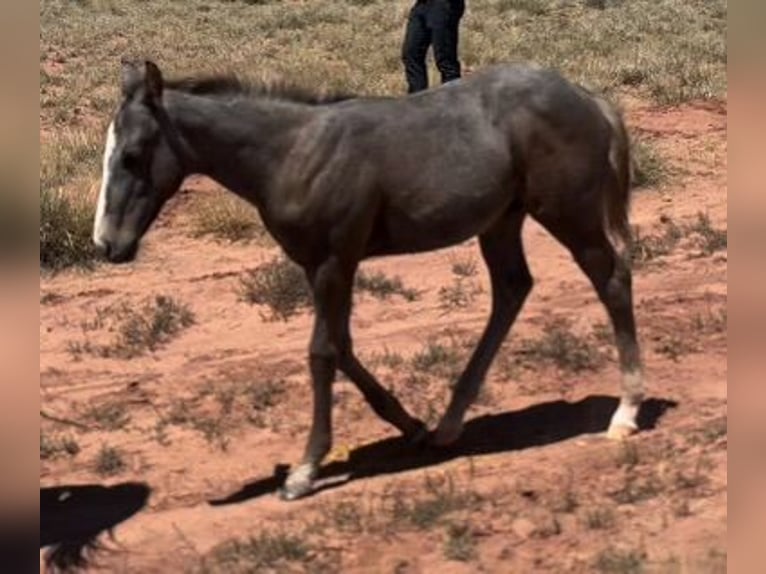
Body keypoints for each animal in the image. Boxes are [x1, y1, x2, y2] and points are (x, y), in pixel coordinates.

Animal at [91, 58, 648, 500]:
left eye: (132, 156)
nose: (106, 244)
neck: (291, 152)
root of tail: (587, 96)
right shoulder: (319, 266)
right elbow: (343, 347)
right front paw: (412, 426)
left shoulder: (334, 261)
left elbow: (322, 353)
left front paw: (303, 471)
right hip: (501, 221)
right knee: (512, 289)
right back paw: (448, 425)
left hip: (567, 213)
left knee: (611, 278)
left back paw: (625, 413)